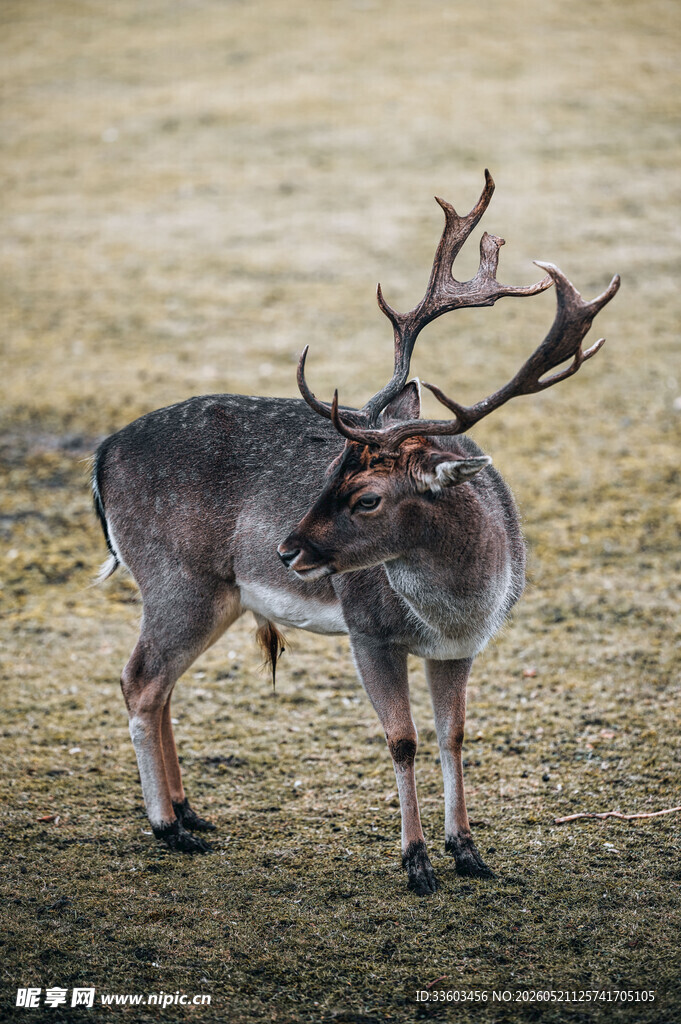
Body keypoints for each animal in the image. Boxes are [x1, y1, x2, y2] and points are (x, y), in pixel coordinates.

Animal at [92, 171, 619, 895]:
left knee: (161, 683)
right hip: (177, 578)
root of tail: (100, 456)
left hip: (217, 595)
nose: (287, 548)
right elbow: (403, 740)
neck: (457, 606)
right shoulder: (367, 630)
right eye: (326, 472)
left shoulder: (463, 647)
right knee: (139, 678)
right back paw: (168, 828)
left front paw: (468, 851)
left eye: (366, 495)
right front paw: (416, 862)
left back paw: (190, 812)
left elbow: (453, 736)